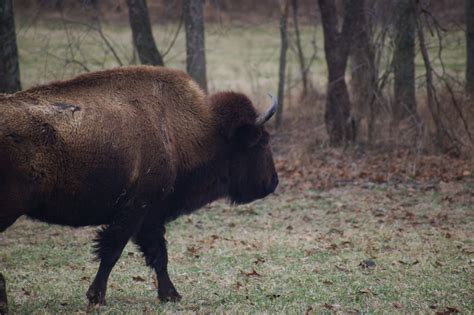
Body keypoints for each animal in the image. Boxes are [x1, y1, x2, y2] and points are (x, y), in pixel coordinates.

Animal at [0, 66, 280, 306]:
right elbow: (113, 251)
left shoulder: (151, 216)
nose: (273, 182)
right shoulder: (136, 208)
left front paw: (171, 295)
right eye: (261, 140)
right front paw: (96, 297)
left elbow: (158, 255)